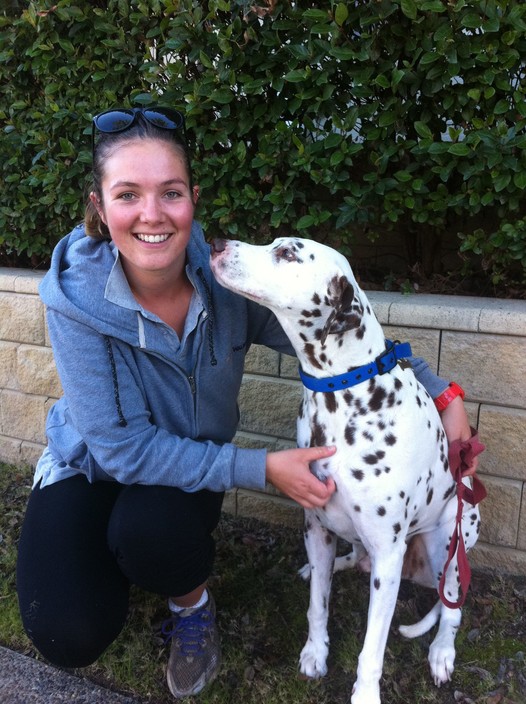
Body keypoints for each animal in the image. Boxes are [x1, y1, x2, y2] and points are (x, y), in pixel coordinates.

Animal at [209, 238, 482, 704]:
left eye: (288, 253)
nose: (215, 243)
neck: (344, 392)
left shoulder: (389, 555)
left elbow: (372, 647)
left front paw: (365, 694)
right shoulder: (316, 525)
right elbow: (317, 605)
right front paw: (315, 653)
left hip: (450, 540)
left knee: (451, 606)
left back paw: (442, 651)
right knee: (352, 557)